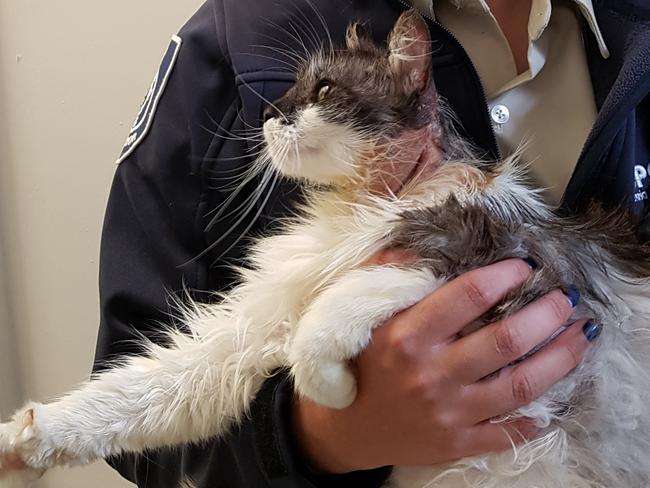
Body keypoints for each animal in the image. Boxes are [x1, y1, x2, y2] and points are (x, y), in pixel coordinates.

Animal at [1, 8, 648, 488]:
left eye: (324, 88)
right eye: (288, 86)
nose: (268, 112)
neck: (360, 205)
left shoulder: (495, 260)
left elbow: (322, 325)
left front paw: (333, 390)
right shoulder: (245, 334)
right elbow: (138, 393)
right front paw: (24, 440)